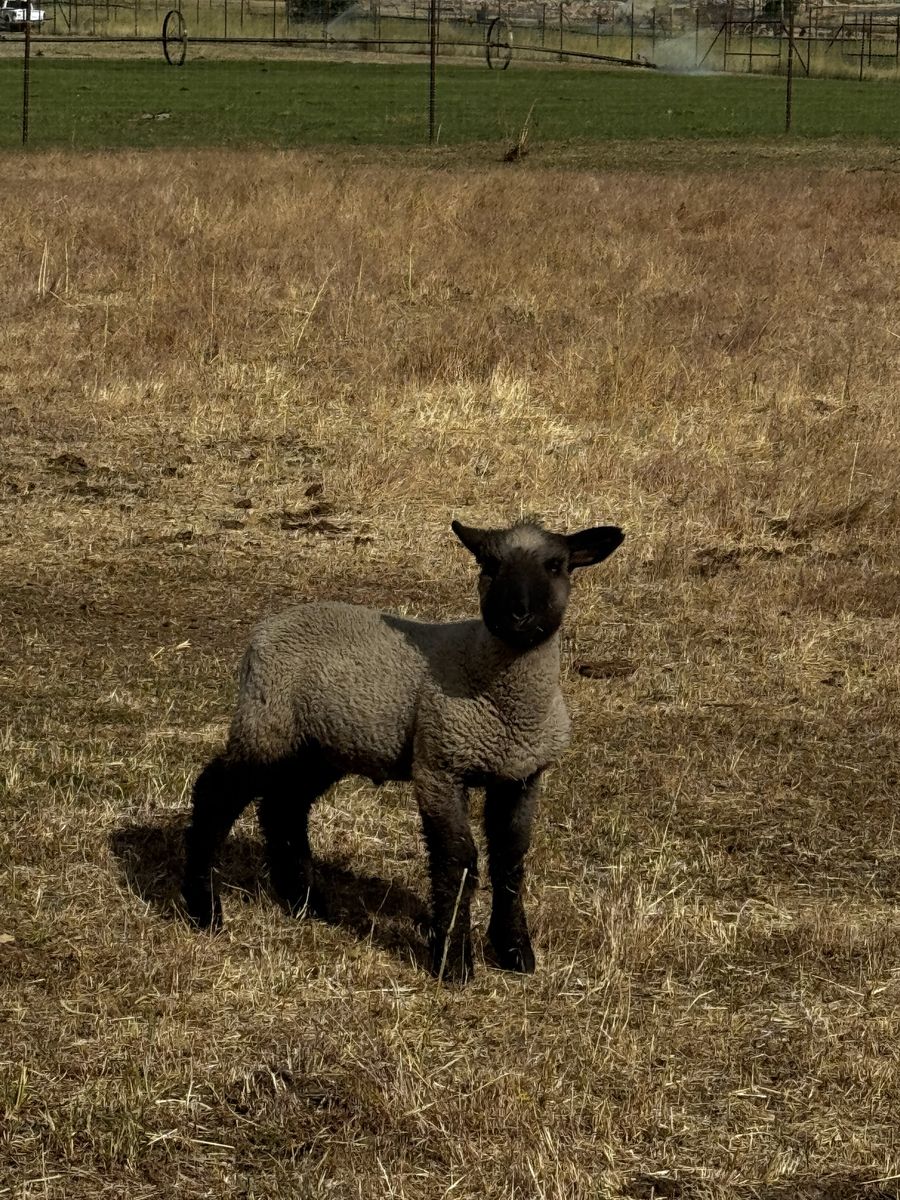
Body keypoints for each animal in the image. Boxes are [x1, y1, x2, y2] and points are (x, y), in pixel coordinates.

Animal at [182, 518, 624, 983]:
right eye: (488, 564)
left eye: (556, 565)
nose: (516, 614)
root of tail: (265, 629)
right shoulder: (439, 766)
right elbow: (457, 860)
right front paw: (453, 962)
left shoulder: (520, 776)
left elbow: (510, 859)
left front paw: (516, 952)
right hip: (268, 722)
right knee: (216, 795)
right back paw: (204, 910)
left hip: (319, 746)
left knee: (283, 808)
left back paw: (306, 904)